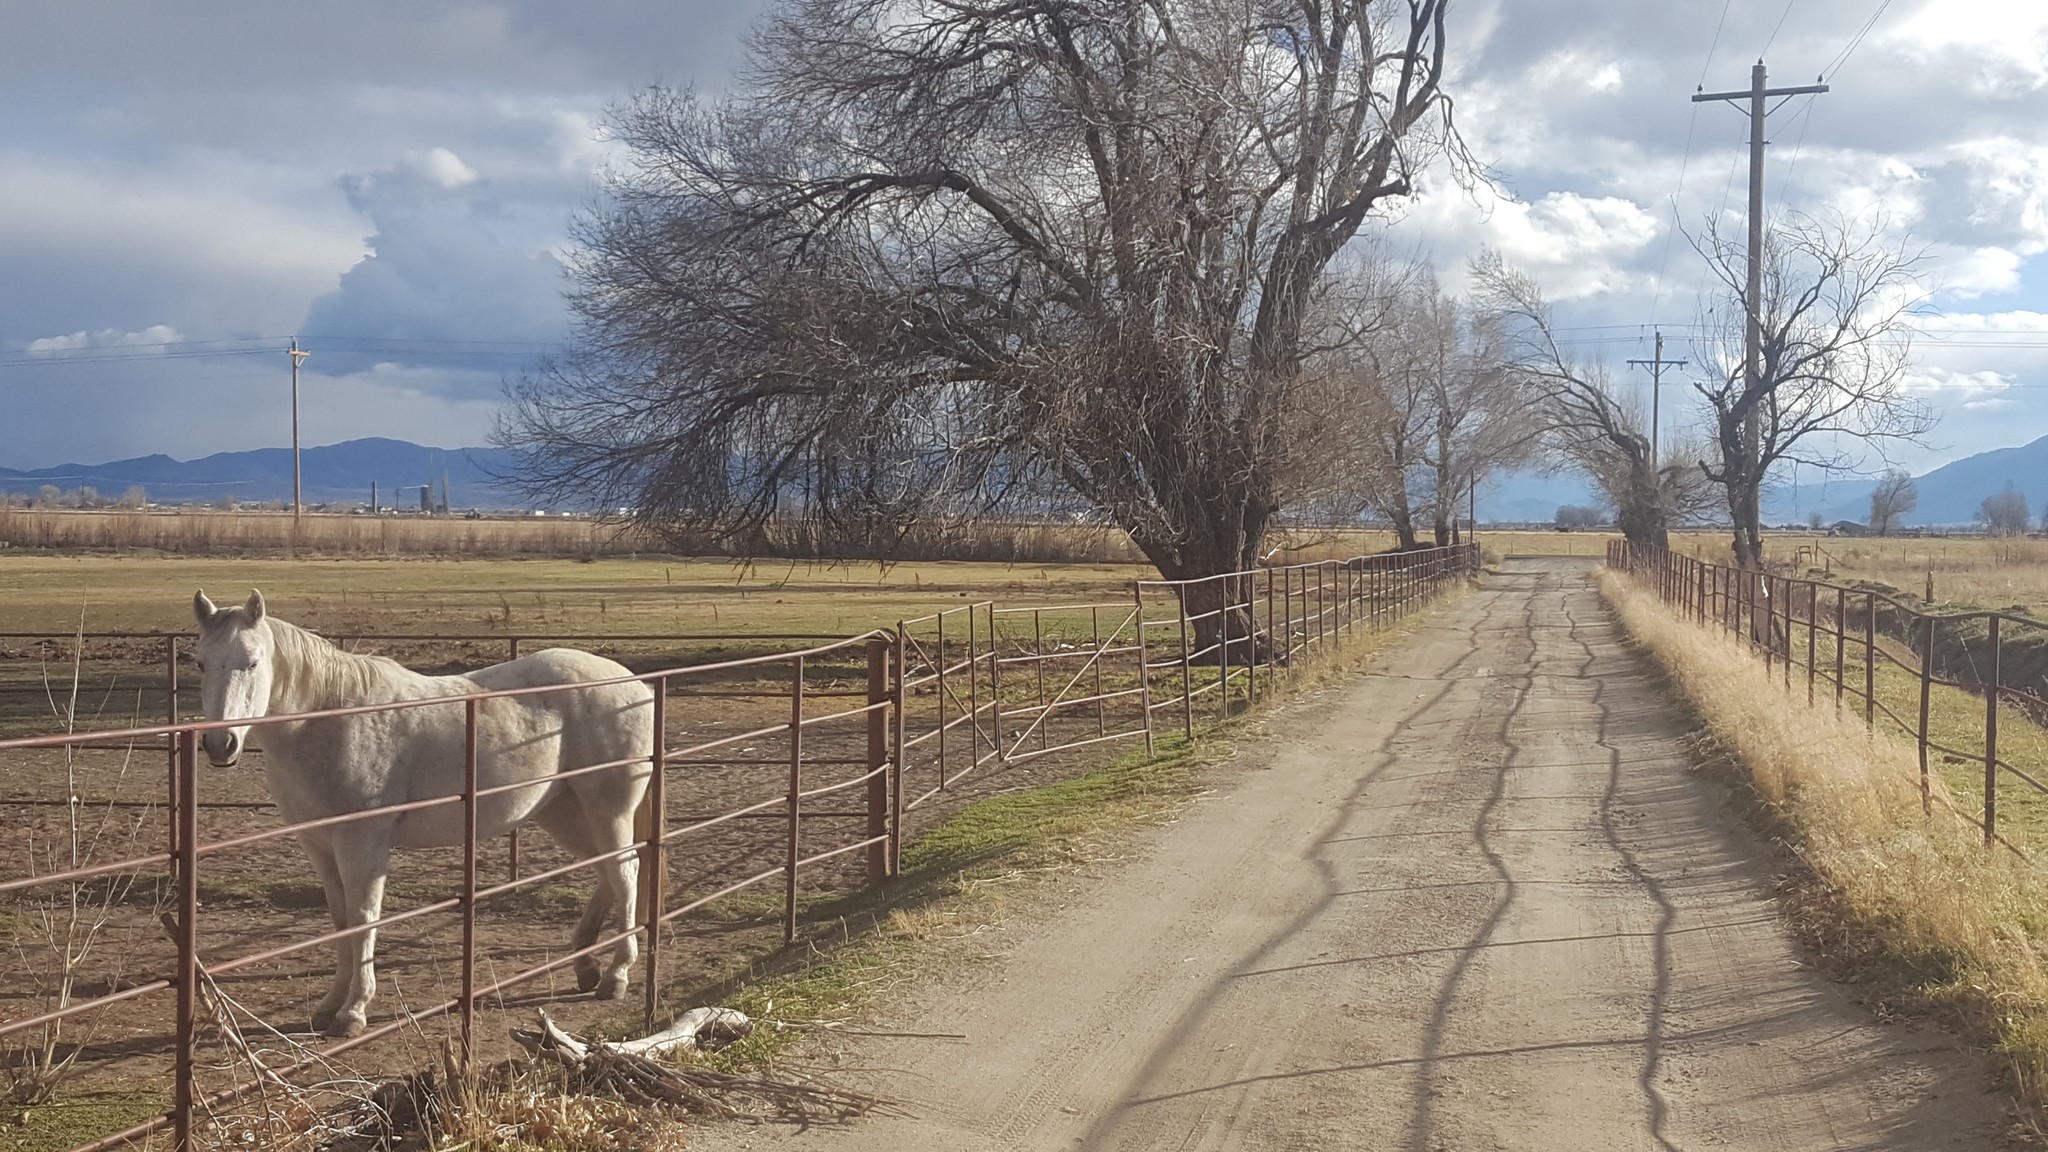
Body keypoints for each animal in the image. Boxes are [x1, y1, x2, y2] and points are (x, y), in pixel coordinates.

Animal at [193, 590, 647, 1033]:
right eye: (200, 663)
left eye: (252, 662)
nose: (219, 745)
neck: (331, 719)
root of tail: (636, 686)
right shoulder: (318, 844)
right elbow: (341, 920)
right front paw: (329, 1005)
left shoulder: (362, 843)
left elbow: (363, 918)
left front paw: (354, 1010)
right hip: (562, 813)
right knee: (606, 870)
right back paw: (585, 965)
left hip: (607, 812)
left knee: (624, 871)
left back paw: (616, 975)